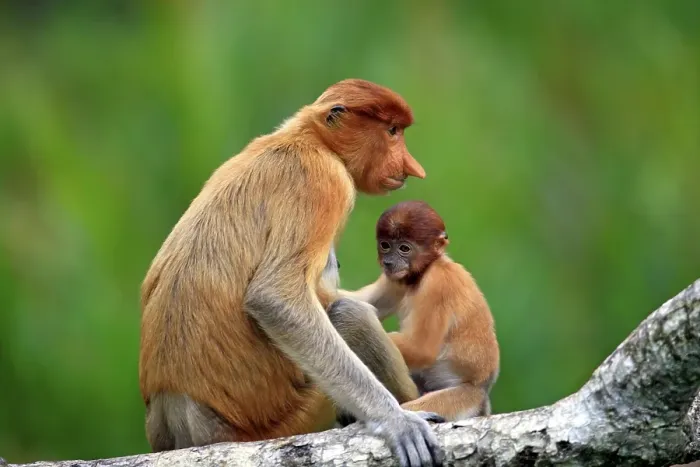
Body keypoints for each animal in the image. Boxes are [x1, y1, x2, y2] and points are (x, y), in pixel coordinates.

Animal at [139, 79, 445, 467]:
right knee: (349, 316)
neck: (308, 138)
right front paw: (397, 421)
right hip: (291, 415)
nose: (412, 167)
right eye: (392, 131)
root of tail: (179, 414)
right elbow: (275, 299)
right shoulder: (324, 182)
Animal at [342, 200, 500, 421]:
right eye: (385, 245)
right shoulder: (397, 280)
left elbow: (420, 349)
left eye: (404, 248)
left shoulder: (437, 284)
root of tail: (483, 391)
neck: (427, 269)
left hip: (463, 398)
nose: (388, 262)